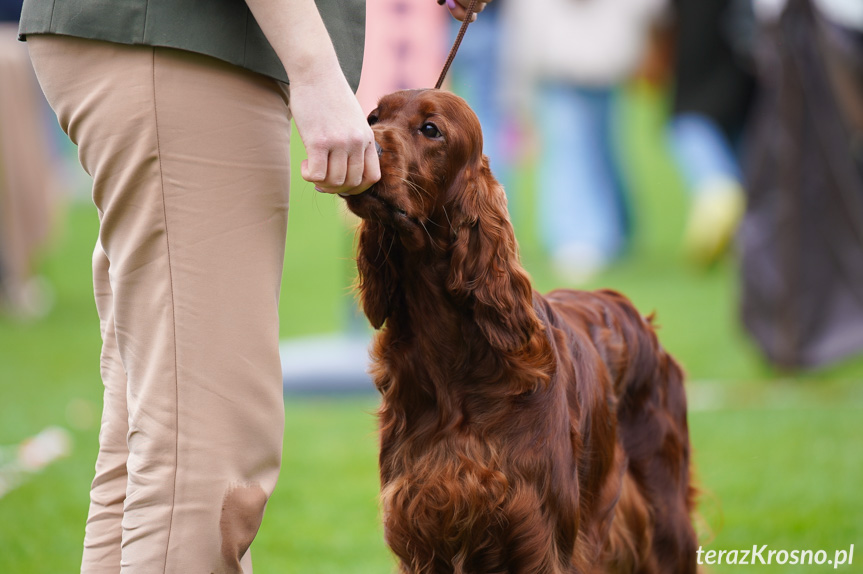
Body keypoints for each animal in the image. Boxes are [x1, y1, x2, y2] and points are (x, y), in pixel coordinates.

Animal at [340, 90, 700, 574]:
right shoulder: (422, 529)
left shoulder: (537, 532)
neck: (453, 356)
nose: (365, 148)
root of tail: (632, 311)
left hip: (666, 523)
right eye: (373, 117)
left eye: (431, 129)